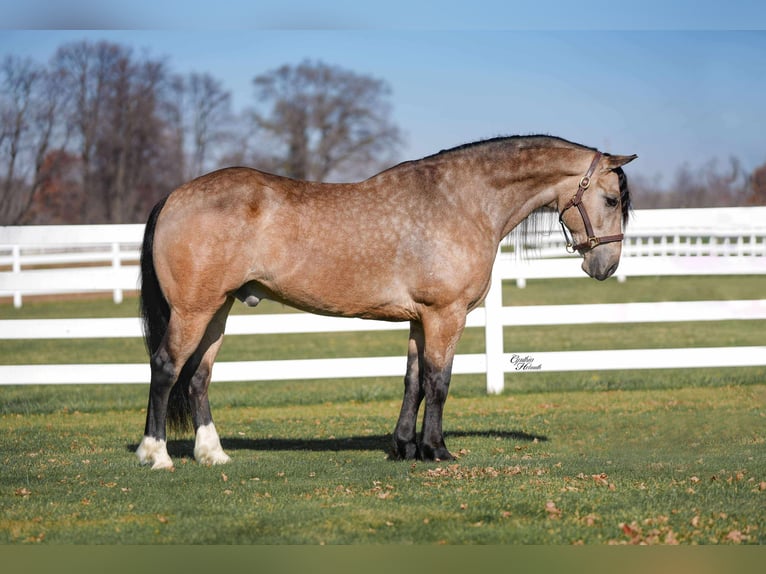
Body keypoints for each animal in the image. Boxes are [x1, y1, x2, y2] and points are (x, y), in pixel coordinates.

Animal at [136, 135, 636, 469]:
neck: (462, 201)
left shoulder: (419, 319)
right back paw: (156, 454)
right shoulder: (446, 315)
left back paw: (212, 453)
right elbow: (439, 382)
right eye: (611, 198)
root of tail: (174, 196)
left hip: (217, 310)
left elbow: (412, 382)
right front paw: (436, 450)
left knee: (199, 377)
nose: (606, 265)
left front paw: (403, 447)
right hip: (193, 311)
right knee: (166, 368)